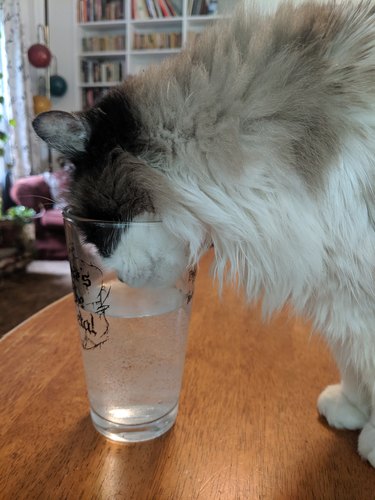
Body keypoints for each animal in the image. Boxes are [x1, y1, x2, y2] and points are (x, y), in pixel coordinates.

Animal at [33, 0, 375, 466]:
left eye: (100, 236)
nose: (119, 280)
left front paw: (372, 437)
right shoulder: (342, 288)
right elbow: (356, 363)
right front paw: (354, 409)